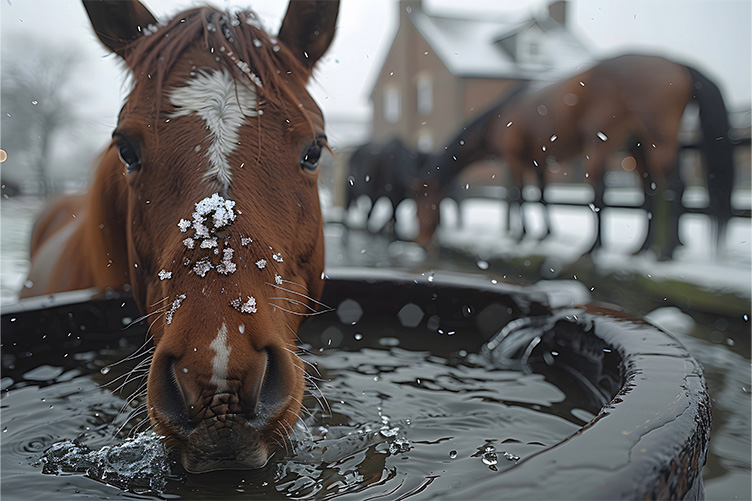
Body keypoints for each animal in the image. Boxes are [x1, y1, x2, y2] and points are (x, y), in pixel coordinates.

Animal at [415, 54, 735, 260]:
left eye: (423, 202)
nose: (421, 243)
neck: (500, 116)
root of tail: (677, 65)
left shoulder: (515, 159)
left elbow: (519, 195)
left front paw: (521, 236)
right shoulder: (539, 162)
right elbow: (542, 196)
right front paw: (543, 235)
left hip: (623, 145)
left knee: (665, 187)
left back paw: (637, 251)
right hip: (638, 148)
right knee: (649, 193)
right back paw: (641, 249)